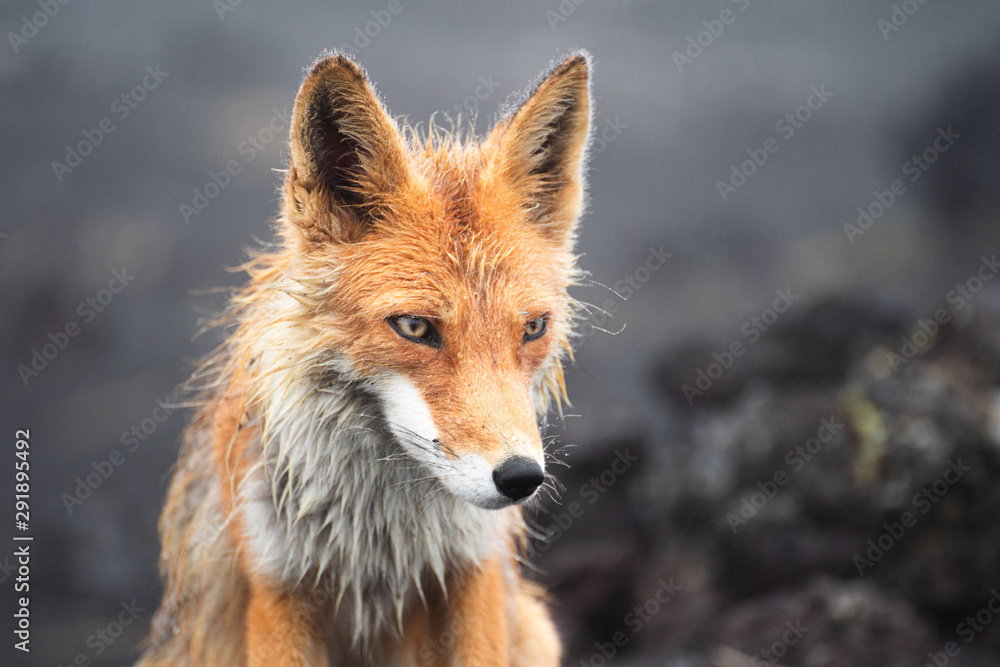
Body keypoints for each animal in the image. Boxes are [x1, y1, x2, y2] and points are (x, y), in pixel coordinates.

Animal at [141, 49, 592, 664]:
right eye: (415, 327)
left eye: (533, 328)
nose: (521, 477)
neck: (378, 546)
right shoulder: (276, 586)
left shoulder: (473, 569)